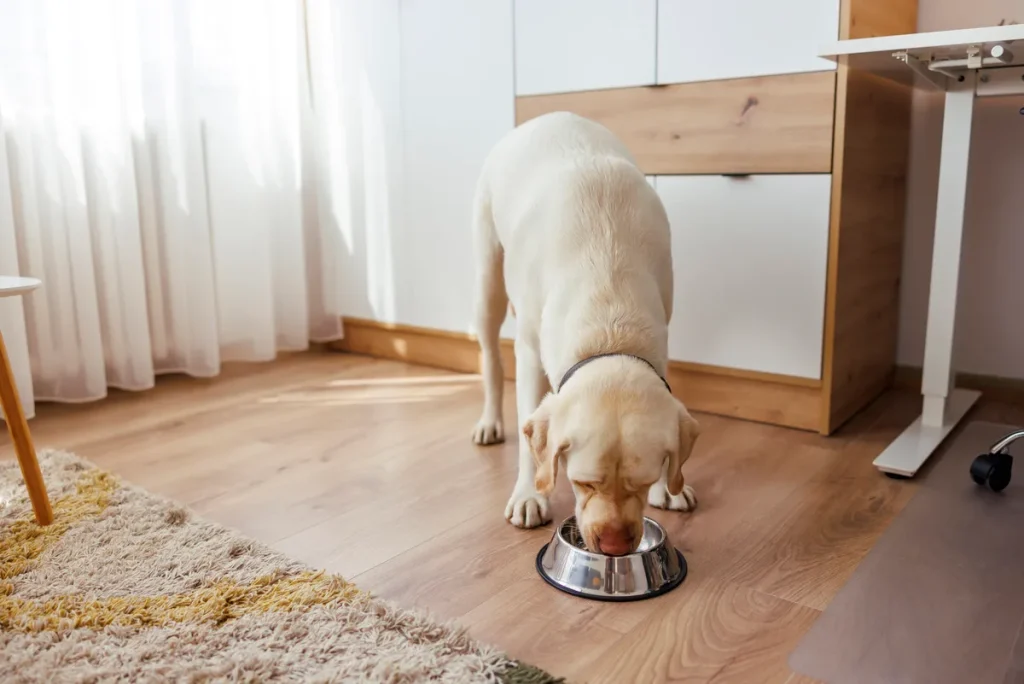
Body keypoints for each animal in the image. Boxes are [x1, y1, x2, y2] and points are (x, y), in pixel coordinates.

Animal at [468, 108, 696, 557]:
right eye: (582, 482)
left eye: (643, 482)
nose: (613, 547)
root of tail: (543, 116)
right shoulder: (530, 352)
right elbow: (529, 435)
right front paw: (529, 494)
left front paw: (670, 487)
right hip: (487, 277)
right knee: (490, 357)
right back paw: (489, 422)